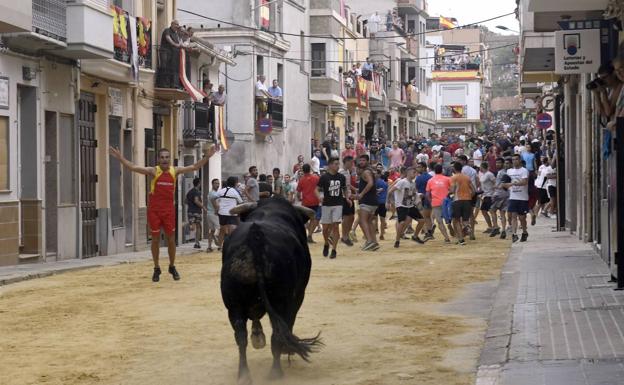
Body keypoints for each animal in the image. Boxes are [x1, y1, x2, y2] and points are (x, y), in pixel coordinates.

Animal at [222, 196, 324, 382]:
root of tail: (256, 237)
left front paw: (258, 336)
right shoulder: (298, 296)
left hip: (233, 305)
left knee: (241, 336)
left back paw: (244, 374)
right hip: (281, 301)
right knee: (277, 334)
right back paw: (276, 372)